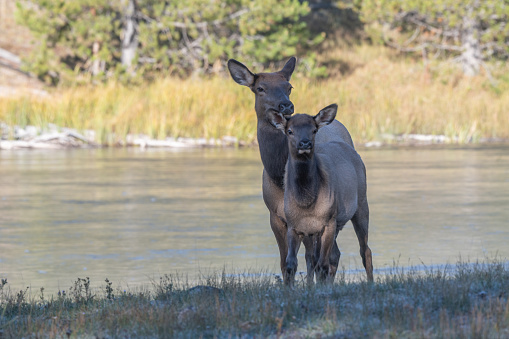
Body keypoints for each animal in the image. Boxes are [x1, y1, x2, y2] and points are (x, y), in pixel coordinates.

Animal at [270, 105, 374, 286]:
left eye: (314, 129)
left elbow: (323, 264)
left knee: (365, 250)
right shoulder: (293, 226)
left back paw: (370, 283)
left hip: (361, 204)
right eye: (289, 131)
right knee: (331, 255)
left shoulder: (328, 222)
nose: (305, 143)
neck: (306, 202)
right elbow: (290, 264)